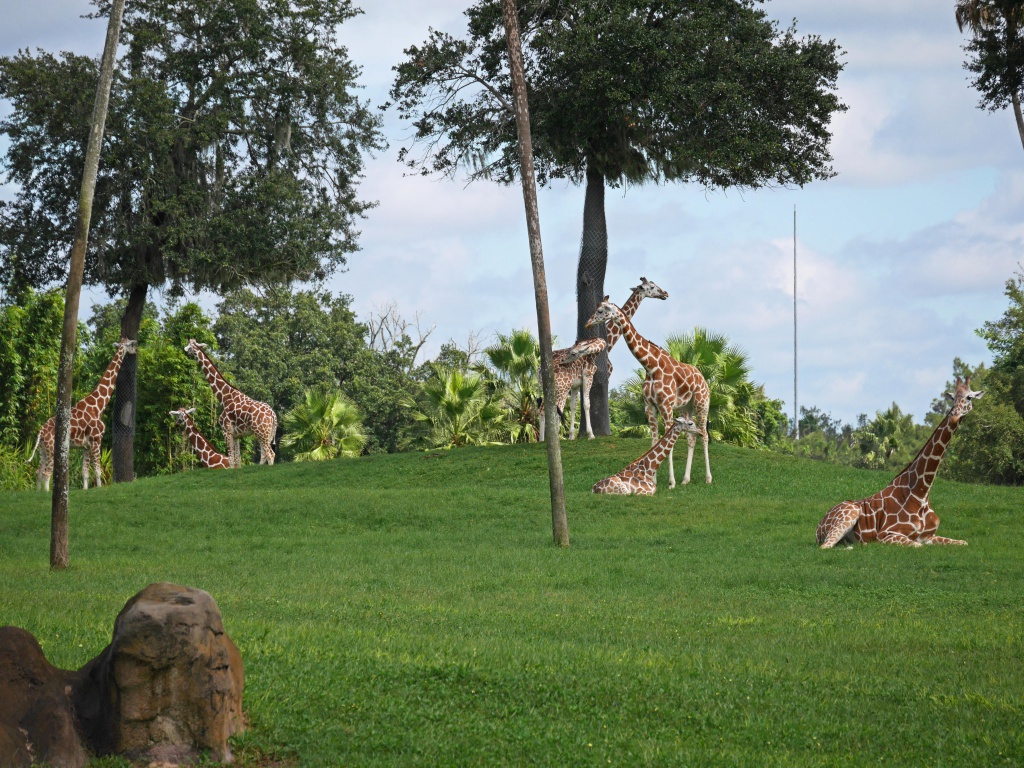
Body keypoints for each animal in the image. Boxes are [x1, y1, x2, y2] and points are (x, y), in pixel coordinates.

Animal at [29, 337, 137, 493]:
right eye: (129, 344)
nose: (136, 349)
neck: (99, 406)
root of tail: (41, 431)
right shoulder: (96, 440)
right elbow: (97, 470)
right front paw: (99, 488)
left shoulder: (86, 446)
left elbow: (85, 472)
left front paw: (86, 490)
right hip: (52, 448)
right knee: (46, 472)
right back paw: (46, 493)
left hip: (43, 449)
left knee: (38, 471)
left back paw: (38, 493)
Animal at [536, 280, 671, 442]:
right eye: (651, 287)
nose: (664, 293)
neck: (609, 345)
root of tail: (539, 369)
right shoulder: (598, 375)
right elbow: (589, 403)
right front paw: (591, 434)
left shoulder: (577, 384)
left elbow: (575, 406)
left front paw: (572, 436)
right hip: (560, 388)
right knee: (551, 409)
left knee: (543, 409)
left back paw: (543, 439)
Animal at [585, 301, 712, 487]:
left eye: (600, 311)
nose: (588, 323)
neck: (650, 366)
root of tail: (703, 379)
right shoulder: (650, 407)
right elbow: (654, 441)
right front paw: (653, 479)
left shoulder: (666, 406)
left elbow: (670, 443)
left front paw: (671, 482)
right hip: (685, 408)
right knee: (691, 437)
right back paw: (685, 479)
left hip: (702, 404)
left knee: (704, 435)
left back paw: (708, 478)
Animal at [815, 376, 983, 548]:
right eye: (953, 398)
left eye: (969, 397)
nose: (955, 414)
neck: (921, 493)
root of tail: (818, 526)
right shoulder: (886, 535)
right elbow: (917, 545)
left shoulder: (929, 536)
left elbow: (964, 542)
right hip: (850, 514)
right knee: (825, 546)